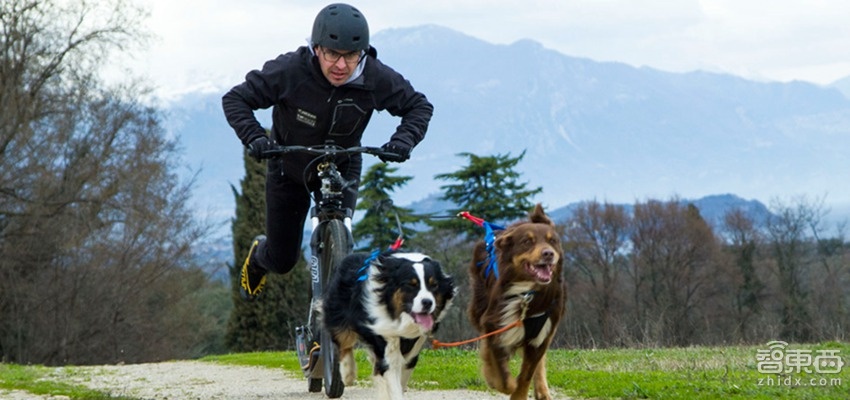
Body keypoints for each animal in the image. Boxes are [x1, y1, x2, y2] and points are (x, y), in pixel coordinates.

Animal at [322, 252, 454, 398]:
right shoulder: (385, 334)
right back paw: (348, 374)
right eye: (411, 285)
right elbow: (391, 374)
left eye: (434, 285)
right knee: (344, 342)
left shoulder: (415, 346)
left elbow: (401, 375)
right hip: (338, 313)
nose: (428, 302)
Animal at [468, 205, 568, 400]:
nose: (548, 253)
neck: (527, 293)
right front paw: (494, 379)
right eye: (527, 242)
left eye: (552, 241)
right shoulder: (494, 325)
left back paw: (542, 390)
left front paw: (518, 392)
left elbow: (526, 375)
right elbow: (502, 374)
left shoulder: (542, 333)